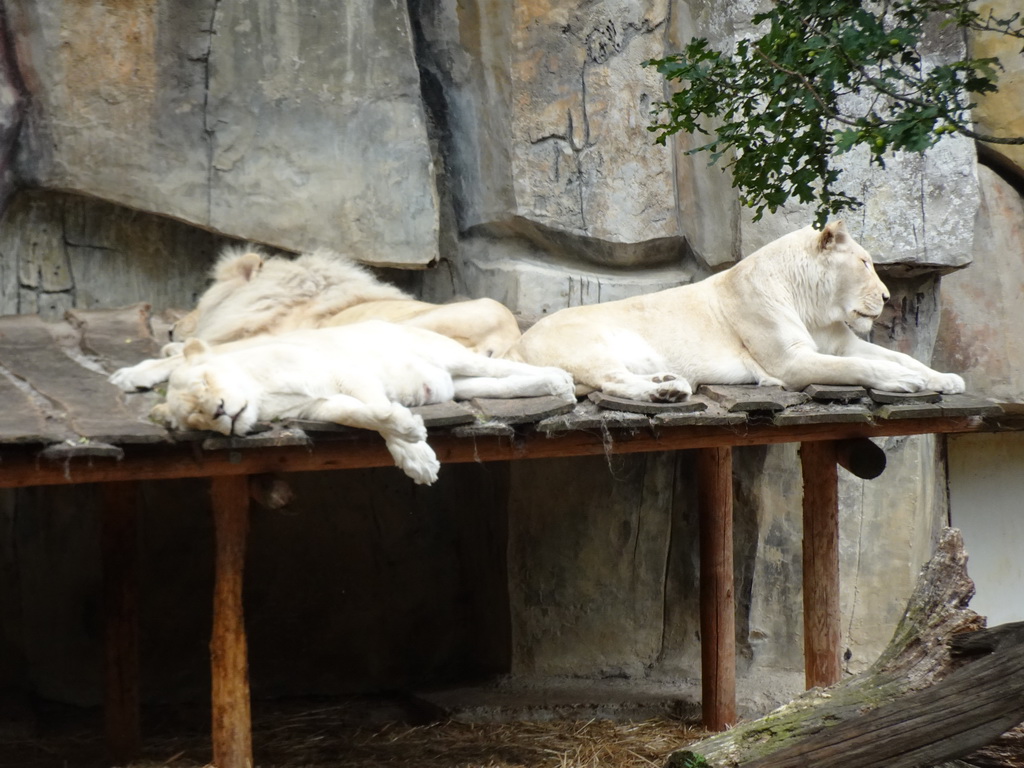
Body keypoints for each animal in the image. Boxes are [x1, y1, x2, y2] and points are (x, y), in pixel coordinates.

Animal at [114, 321, 577, 483]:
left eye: (205, 384)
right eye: (195, 416)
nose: (219, 412)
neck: (262, 395)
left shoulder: (342, 371)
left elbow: (378, 410)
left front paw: (417, 453)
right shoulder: (319, 407)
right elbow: (362, 415)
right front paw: (413, 447)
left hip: (449, 356)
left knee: (501, 367)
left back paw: (560, 380)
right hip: (463, 385)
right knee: (501, 384)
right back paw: (555, 387)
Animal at [512, 221, 966, 403]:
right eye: (866, 263)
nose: (888, 297)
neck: (814, 307)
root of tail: (518, 343)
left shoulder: (841, 345)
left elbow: (899, 356)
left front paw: (945, 378)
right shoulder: (789, 364)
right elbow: (864, 368)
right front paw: (903, 381)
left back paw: (667, 382)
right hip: (591, 344)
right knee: (613, 381)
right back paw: (665, 392)